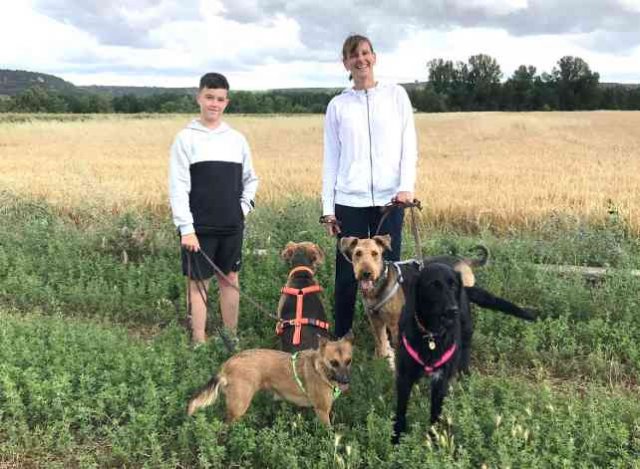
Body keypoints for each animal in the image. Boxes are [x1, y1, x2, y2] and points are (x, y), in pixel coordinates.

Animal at [185, 330, 356, 426]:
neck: (320, 368)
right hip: (239, 406)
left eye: (349, 361)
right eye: (333, 363)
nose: (346, 381)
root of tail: (227, 366)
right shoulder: (322, 411)